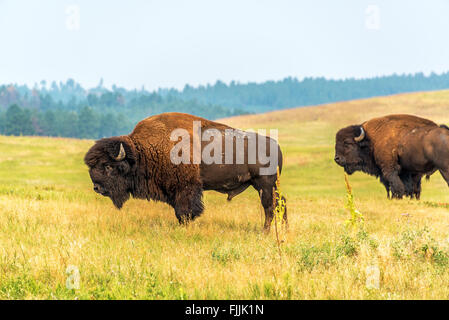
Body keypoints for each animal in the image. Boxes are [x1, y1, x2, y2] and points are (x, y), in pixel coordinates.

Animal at [84, 112, 288, 230]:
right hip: (265, 185)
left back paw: (265, 232)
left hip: (265, 184)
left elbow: (184, 211)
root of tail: (276, 145)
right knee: (280, 202)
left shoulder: (186, 188)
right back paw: (283, 230)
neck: (142, 151)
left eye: (108, 166)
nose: (97, 188)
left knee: (270, 206)